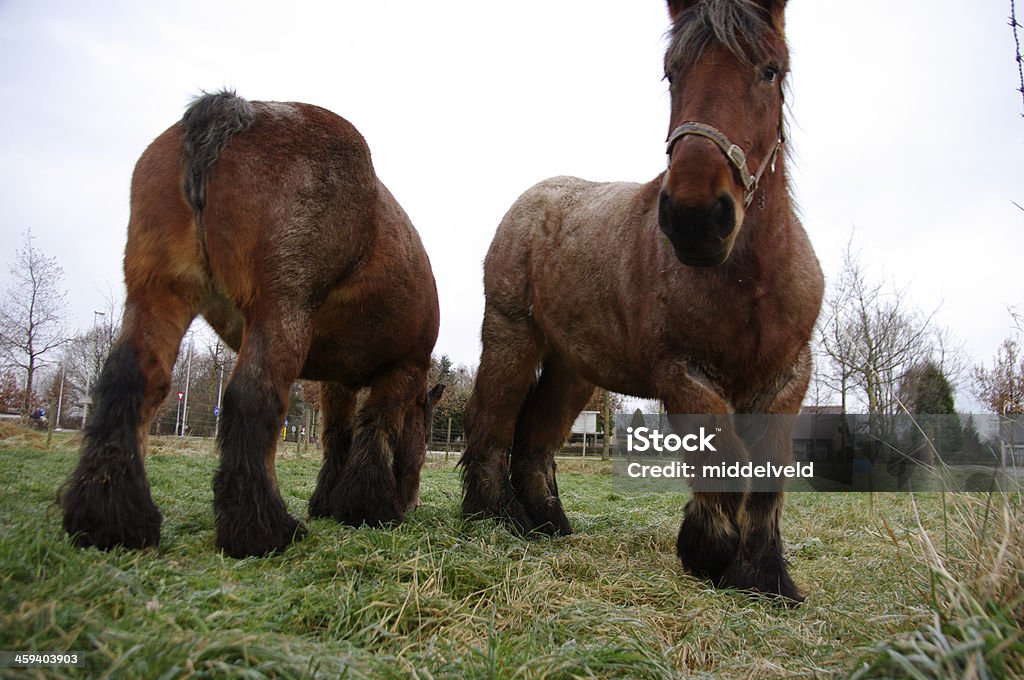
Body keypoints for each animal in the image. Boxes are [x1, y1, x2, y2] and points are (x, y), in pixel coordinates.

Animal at [59, 90, 442, 557]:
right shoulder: (404, 368)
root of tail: (235, 111)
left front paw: (331, 502)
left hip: (156, 296)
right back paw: (262, 529)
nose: (412, 502)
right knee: (252, 396)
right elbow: (375, 428)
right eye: (425, 437)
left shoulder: (337, 384)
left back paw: (111, 520)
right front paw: (368, 507)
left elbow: (337, 435)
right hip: (278, 312)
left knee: (128, 380)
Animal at [462, 0, 823, 602]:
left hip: (572, 370)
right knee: (492, 421)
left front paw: (765, 576)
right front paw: (709, 553)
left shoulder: (787, 377)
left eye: (770, 70)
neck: (750, 281)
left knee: (536, 437)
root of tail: (531, 202)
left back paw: (547, 524)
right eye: (671, 73)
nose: (696, 217)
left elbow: (768, 472)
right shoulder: (682, 374)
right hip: (511, 337)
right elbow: (724, 456)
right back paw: (492, 518)